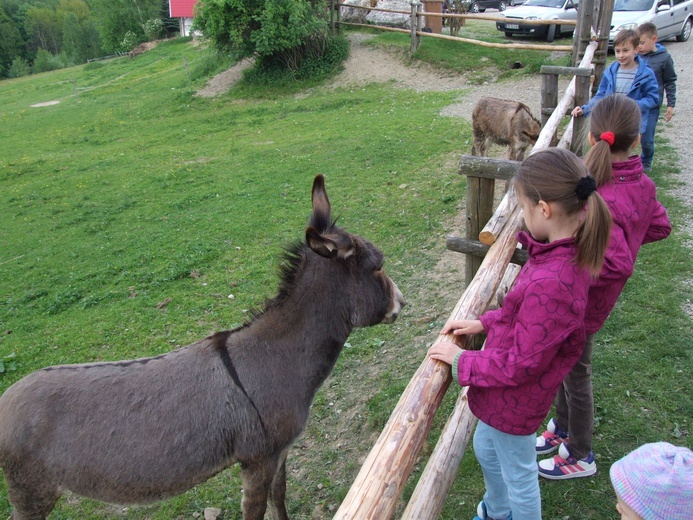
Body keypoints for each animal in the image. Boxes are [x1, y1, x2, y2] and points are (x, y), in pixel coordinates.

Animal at [0, 176, 406, 520]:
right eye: (378, 266)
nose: (401, 302)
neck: (278, 357)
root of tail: (5, 399)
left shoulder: (281, 451)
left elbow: (280, 496)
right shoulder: (258, 459)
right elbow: (257, 509)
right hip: (31, 491)